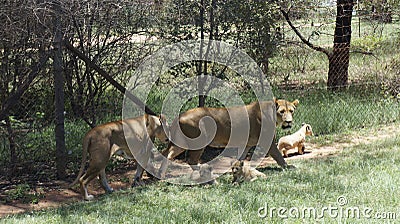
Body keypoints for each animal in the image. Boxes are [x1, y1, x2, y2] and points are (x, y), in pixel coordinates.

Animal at [158, 98, 298, 178]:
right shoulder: (267, 141)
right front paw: (288, 167)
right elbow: (278, 155)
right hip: (199, 141)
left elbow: (241, 158)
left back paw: (159, 174)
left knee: (166, 153)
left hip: (181, 142)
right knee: (191, 160)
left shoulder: (246, 144)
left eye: (291, 111)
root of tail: (180, 116)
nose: (289, 122)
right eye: (282, 111)